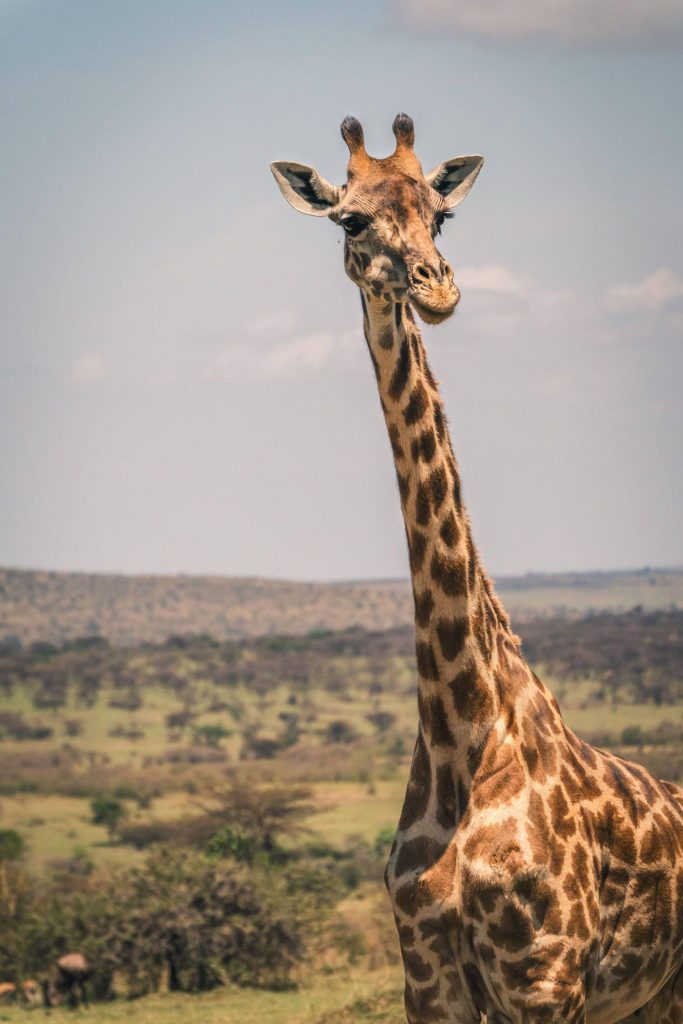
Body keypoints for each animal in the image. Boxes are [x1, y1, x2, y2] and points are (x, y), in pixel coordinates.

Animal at [271, 115, 683, 1024]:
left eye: (441, 214)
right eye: (349, 220)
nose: (438, 289)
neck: (461, 734)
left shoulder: (546, 977)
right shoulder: (428, 981)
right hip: (643, 997)